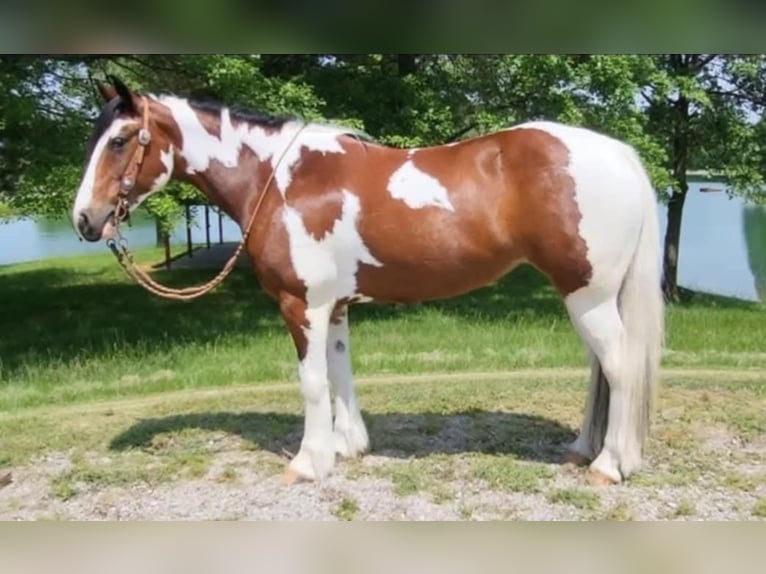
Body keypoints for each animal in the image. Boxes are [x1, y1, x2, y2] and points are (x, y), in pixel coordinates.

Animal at [72, 76, 664, 485]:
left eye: (121, 140)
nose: (85, 220)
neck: (281, 180)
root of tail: (619, 154)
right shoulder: (332, 306)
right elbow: (340, 372)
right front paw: (346, 446)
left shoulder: (300, 305)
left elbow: (312, 382)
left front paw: (308, 463)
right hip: (591, 298)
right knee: (601, 371)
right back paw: (584, 450)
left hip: (587, 296)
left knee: (619, 367)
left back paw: (610, 465)